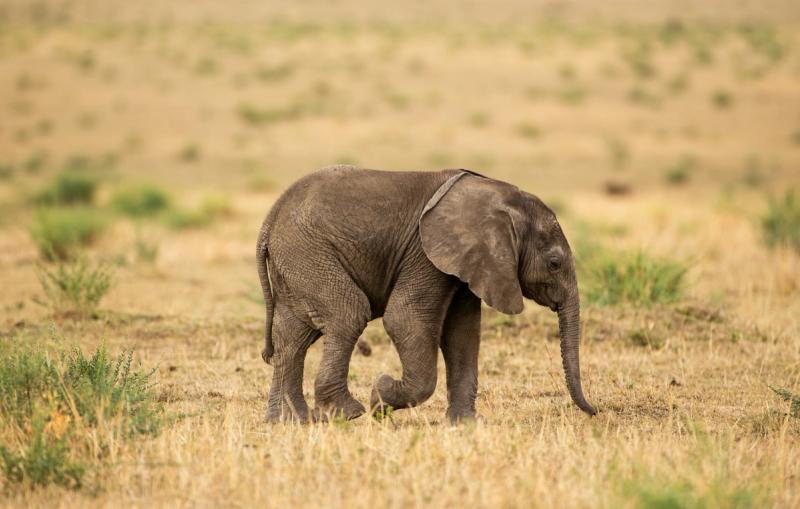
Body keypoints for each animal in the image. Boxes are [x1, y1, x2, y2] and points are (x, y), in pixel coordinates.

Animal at [256, 165, 596, 423]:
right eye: (554, 263)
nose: (594, 411)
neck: (494, 193)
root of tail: (269, 220)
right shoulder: (425, 254)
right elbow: (404, 319)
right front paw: (380, 396)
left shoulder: (467, 262)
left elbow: (462, 333)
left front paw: (466, 424)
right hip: (308, 254)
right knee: (347, 313)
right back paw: (348, 413)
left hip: (298, 263)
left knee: (293, 336)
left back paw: (289, 422)